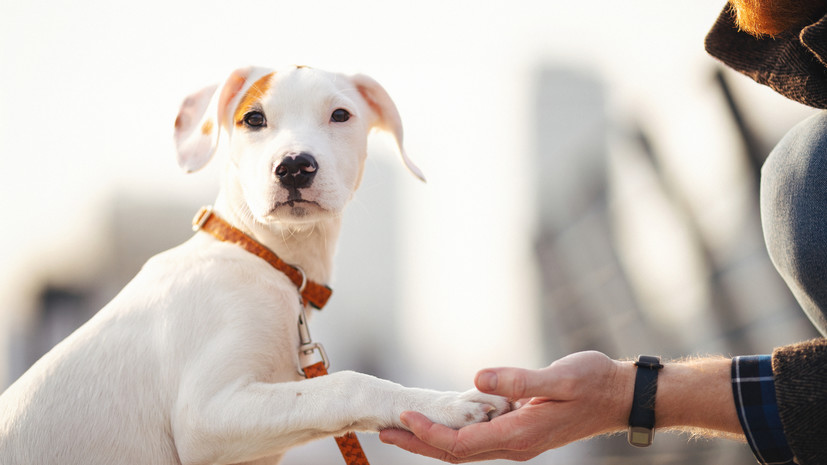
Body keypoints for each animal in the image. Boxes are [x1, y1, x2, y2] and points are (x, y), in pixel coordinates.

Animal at [0, 66, 512, 464]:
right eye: (253, 118)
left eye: (340, 115)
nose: (295, 166)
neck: (266, 260)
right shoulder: (204, 417)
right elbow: (345, 385)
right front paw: (450, 404)